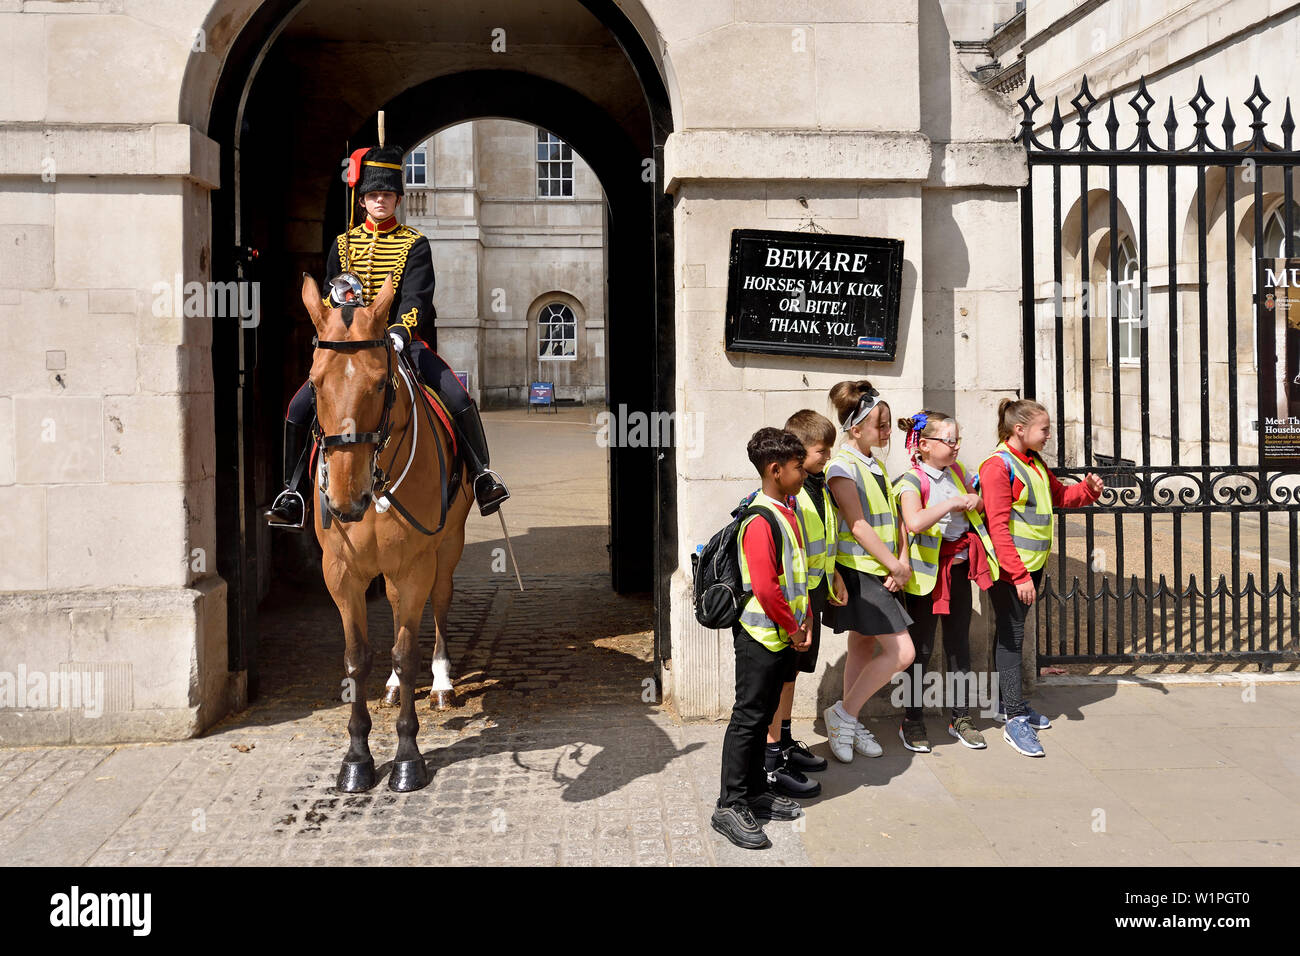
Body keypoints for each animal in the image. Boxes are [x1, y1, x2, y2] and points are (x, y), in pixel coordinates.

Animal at [299, 270, 473, 790]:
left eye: (380, 383)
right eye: (314, 382)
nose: (345, 500)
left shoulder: (414, 564)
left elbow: (405, 653)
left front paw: (408, 758)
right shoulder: (341, 572)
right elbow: (358, 658)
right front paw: (356, 758)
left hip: (446, 550)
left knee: (438, 605)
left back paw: (440, 683)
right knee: (398, 615)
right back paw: (397, 689)